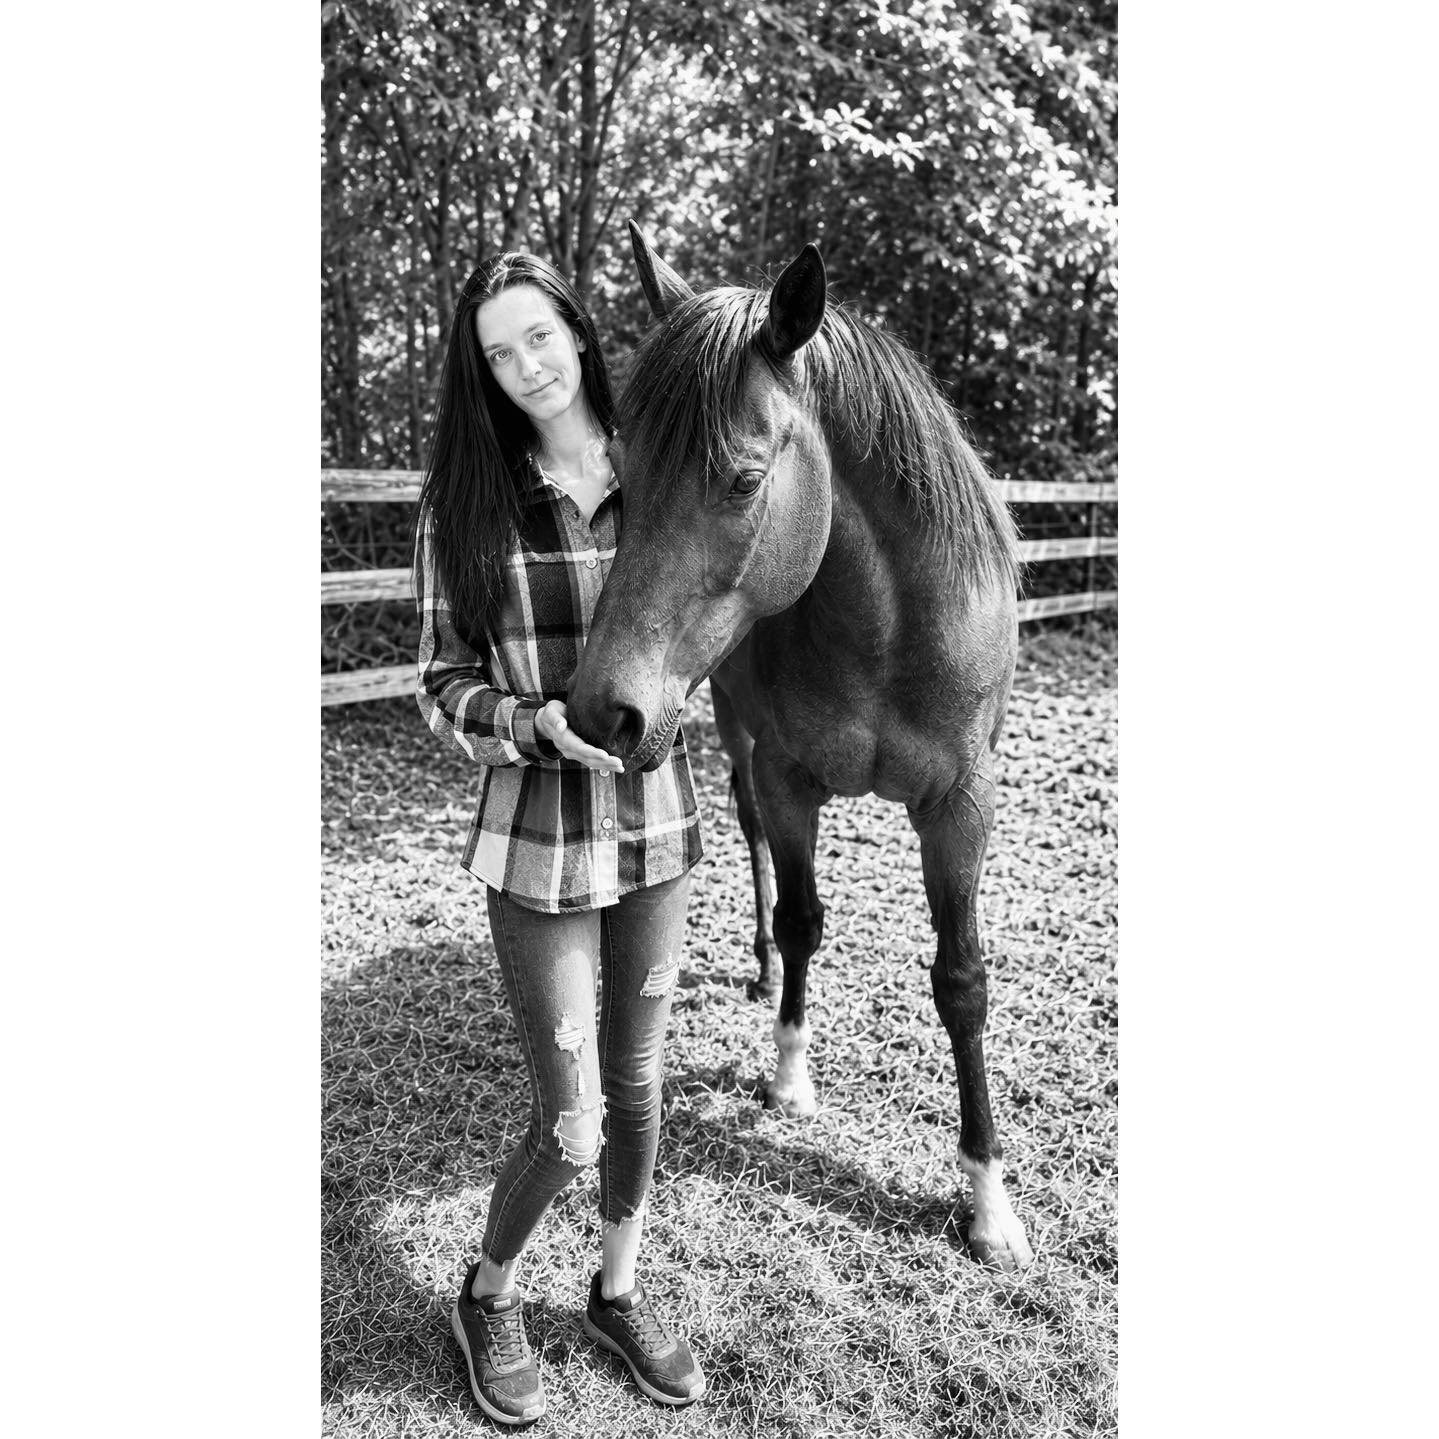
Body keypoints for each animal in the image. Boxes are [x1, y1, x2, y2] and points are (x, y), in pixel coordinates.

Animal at [567, 222, 1034, 1270]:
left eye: (743, 479)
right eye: (620, 473)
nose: (599, 713)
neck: (887, 631)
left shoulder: (962, 805)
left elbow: (962, 979)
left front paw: (987, 1200)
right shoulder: (787, 780)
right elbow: (801, 917)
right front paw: (787, 1073)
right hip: (730, 734)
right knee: (750, 849)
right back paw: (756, 966)